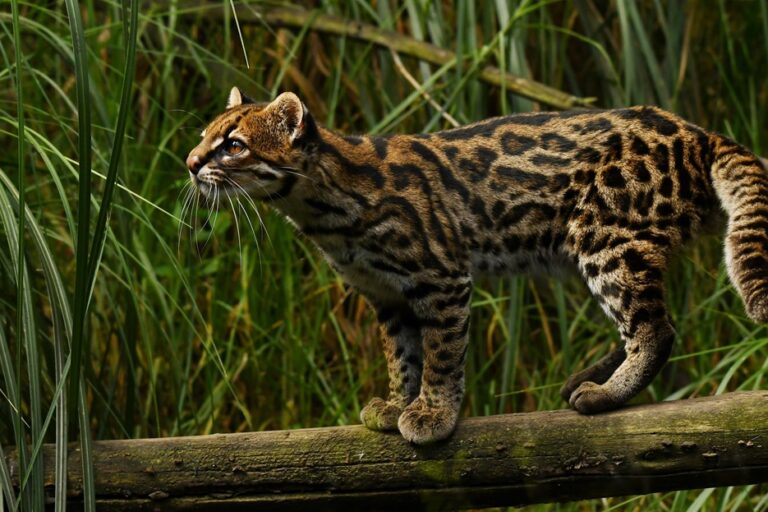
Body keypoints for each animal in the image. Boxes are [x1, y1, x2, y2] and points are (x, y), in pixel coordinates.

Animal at [186, 88, 768, 444]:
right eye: (203, 136)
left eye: (233, 145)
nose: (189, 163)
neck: (320, 210)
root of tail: (695, 132)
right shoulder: (386, 294)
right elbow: (402, 354)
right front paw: (398, 402)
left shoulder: (440, 277)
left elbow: (441, 354)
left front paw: (432, 413)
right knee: (654, 321)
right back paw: (595, 375)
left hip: (608, 237)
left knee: (655, 327)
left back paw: (607, 393)